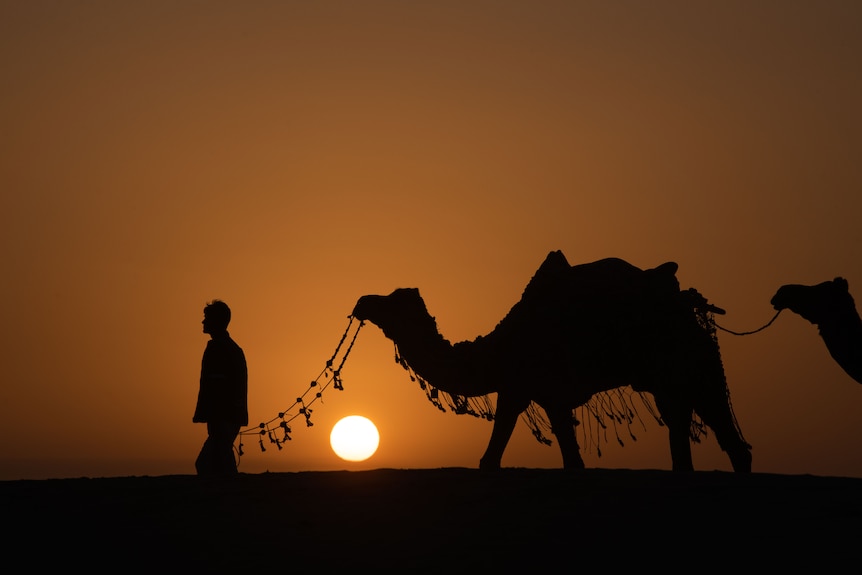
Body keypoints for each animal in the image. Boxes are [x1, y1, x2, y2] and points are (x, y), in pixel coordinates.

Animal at [354, 251, 752, 472]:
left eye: (391, 299)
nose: (361, 301)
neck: (499, 347)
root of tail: (691, 304)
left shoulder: (544, 390)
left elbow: (569, 461)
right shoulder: (518, 389)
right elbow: (497, 455)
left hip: (690, 363)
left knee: (719, 430)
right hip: (670, 377)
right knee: (690, 429)